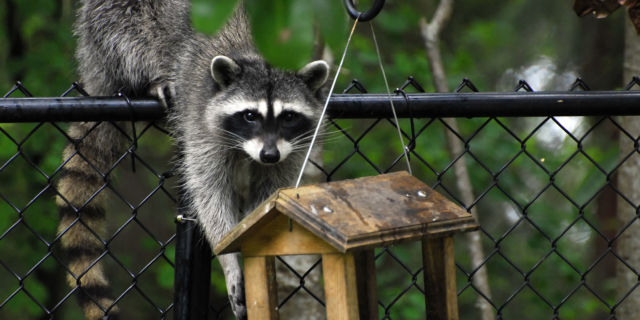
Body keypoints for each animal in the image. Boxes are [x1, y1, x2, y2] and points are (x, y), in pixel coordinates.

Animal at [58, 1, 330, 318]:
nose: (269, 155)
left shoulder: (294, 144)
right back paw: (151, 79)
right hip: (106, 23)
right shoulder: (200, 118)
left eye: (288, 117)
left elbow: (267, 197)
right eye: (250, 115)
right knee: (128, 40)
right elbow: (210, 193)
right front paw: (230, 259)